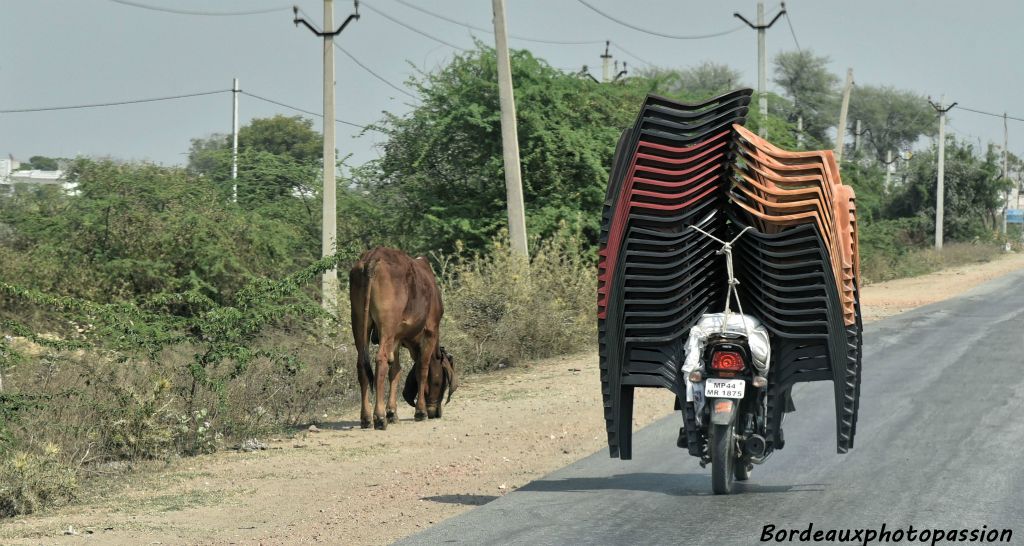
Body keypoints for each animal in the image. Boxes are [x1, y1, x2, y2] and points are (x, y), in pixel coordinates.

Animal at [348, 246, 456, 430]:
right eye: (442, 383)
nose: (436, 412)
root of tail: (372, 258)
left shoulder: (397, 339)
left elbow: (395, 371)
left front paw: (392, 412)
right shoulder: (430, 331)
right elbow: (422, 368)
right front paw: (420, 411)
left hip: (359, 322)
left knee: (362, 364)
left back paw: (366, 418)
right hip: (387, 325)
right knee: (381, 360)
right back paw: (379, 417)